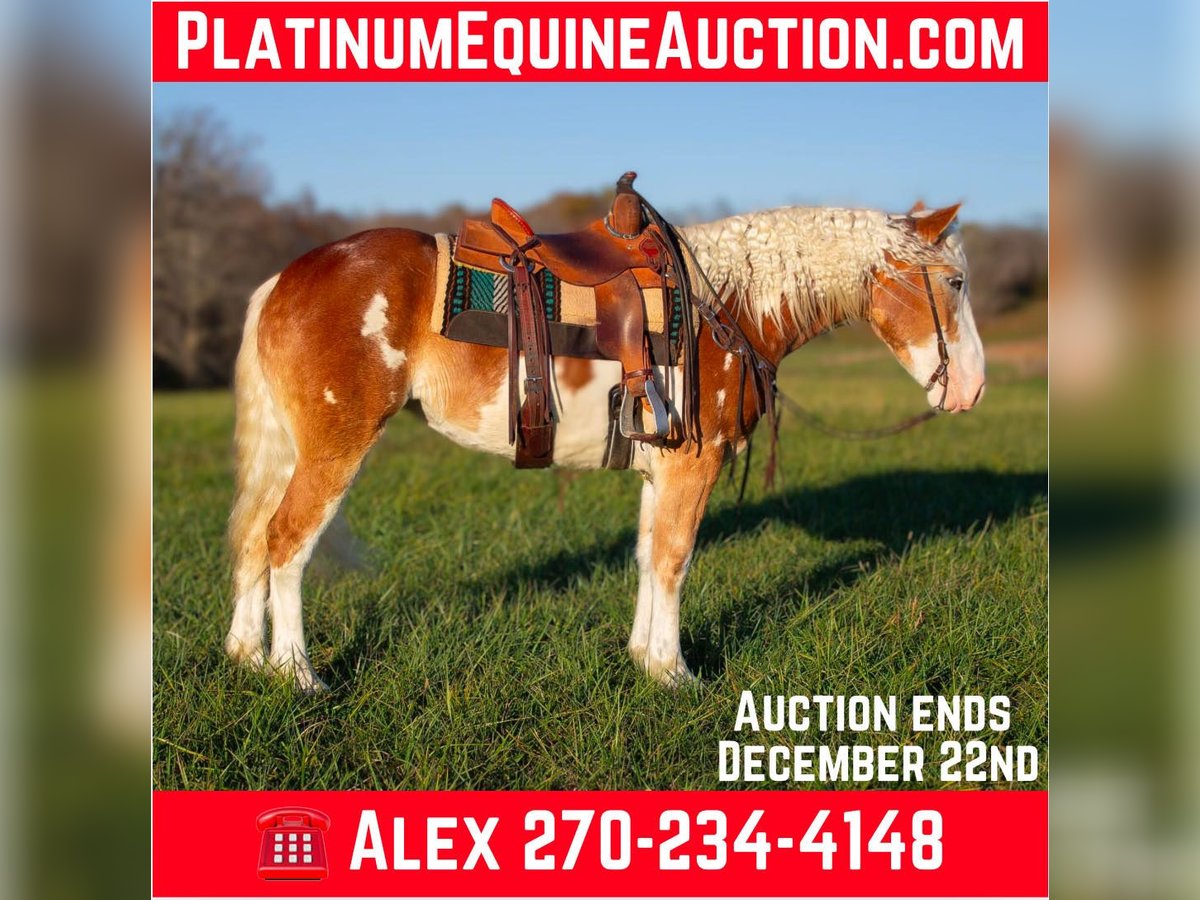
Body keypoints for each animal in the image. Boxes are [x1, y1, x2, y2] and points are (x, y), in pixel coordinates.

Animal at [224, 201, 985, 692]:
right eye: (954, 282)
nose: (974, 389)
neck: (726, 304)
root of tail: (282, 280)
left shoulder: (661, 470)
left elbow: (649, 558)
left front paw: (645, 659)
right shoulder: (693, 466)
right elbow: (675, 561)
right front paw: (676, 675)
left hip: (292, 451)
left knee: (256, 537)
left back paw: (246, 655)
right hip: (336, 447)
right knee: (288, 541)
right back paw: (298, 674)